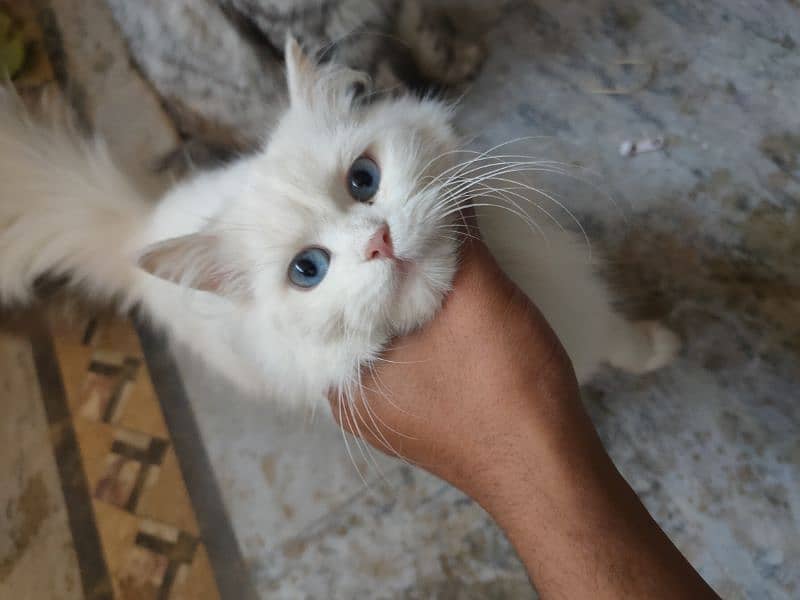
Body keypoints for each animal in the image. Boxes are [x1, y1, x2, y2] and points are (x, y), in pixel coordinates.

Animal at [0, 39, 680, 408]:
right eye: (308, 270)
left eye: (363, 181)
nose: (378, 241)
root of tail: (139, 226)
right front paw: (665, 350)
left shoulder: (583, 300)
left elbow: (621, 338)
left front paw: (657, 346)